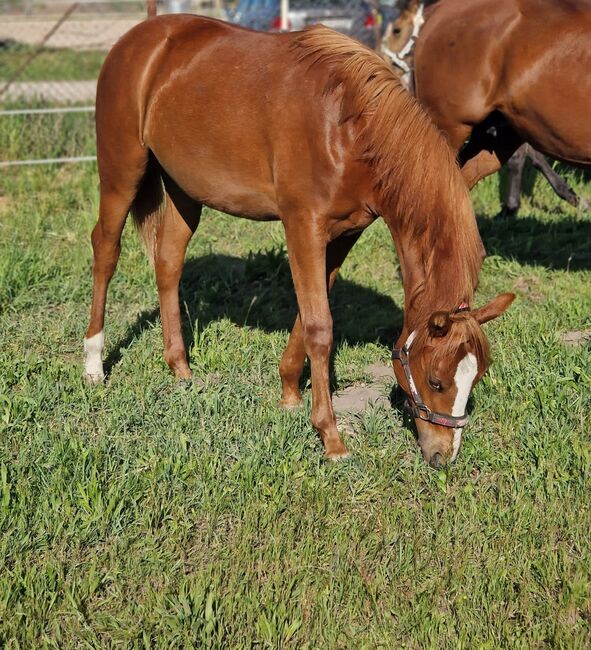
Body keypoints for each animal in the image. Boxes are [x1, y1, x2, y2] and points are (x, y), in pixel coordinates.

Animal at [85, 16, 516, 466]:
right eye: (435, 381)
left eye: (475, 378)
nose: (442, 456)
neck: (350, 126)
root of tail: (140, 38)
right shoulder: (303, 226)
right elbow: (320, 327)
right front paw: (331, 437)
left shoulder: (343, 233)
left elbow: (308, 316)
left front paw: (290, 392)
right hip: (122, 174)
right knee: (106, 251)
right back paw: (94, 363)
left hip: (185, 191)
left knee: (168, 261)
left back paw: (180, 368)